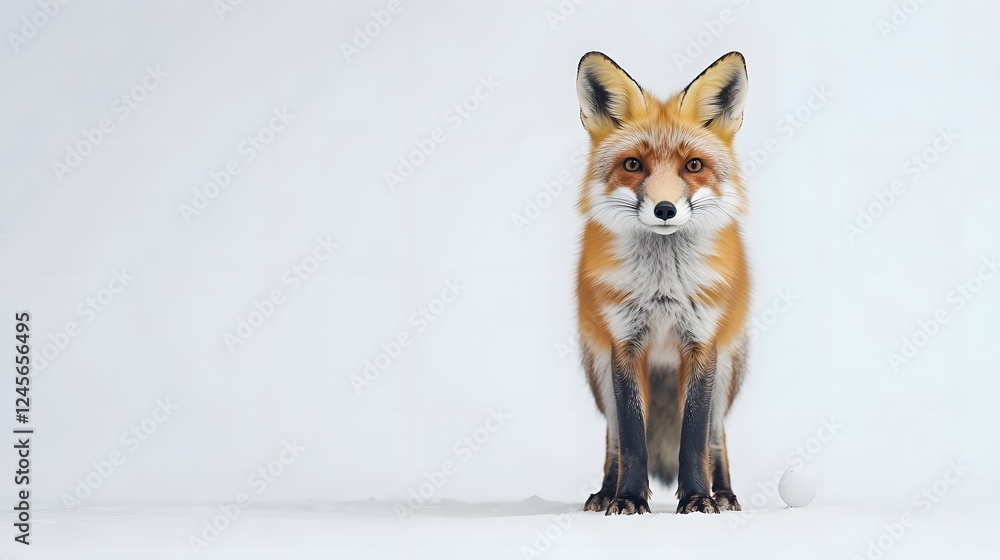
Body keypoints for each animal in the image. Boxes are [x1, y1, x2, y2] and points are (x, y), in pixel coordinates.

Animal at [574, 51, 751, 515]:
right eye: (633, 164)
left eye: (694, 166)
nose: (666, 209)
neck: (663, 287)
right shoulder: (624, 344)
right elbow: (632, 438)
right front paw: (629, 498)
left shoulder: (702, 343)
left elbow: (693, 437)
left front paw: (698, 498)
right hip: (598, 371)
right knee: (613, 438)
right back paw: (606, 491)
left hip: (728, 370)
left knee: (715, 436)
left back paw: (724, 493)